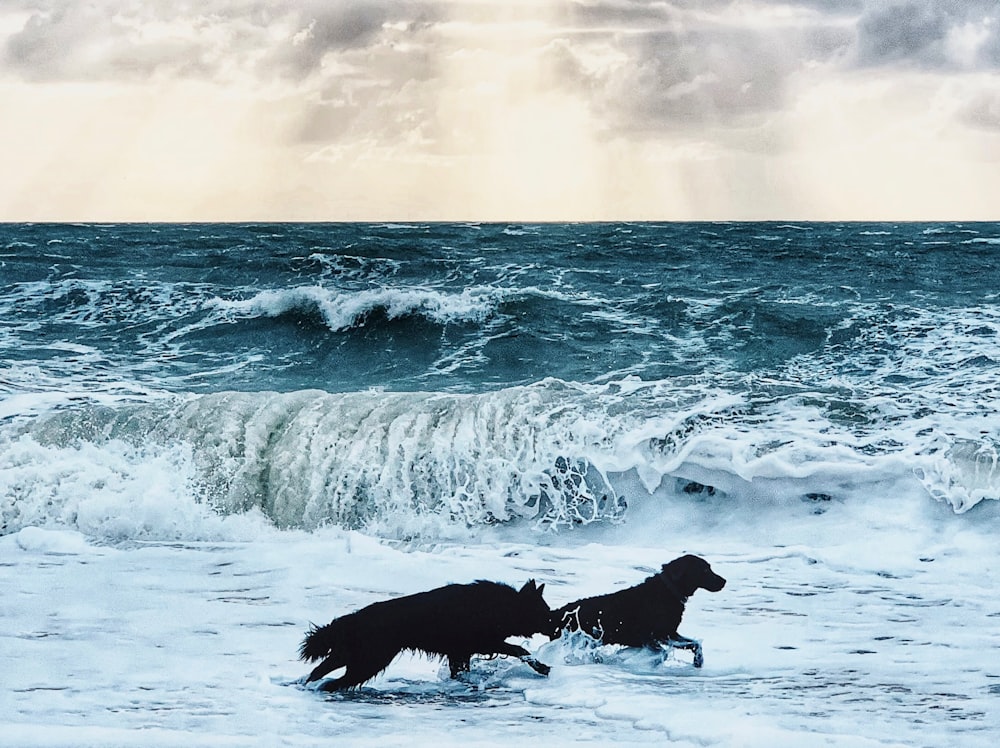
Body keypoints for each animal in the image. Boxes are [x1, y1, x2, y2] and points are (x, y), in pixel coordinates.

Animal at [302, 580, 556, 688]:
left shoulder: (460, 654)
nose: (556, 628)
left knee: (318, 673)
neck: (501, 606)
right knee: (333, 682)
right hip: (368, 663)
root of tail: (352, 619)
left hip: (350, 658)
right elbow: (519, 649)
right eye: (544, 612)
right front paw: (543, 667)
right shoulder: (486, 643)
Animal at [548, 556, 728, 668]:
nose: (724, 581)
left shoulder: (670, 634)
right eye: (705, 570)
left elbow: (695, 643)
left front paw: (698, 661)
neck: (667, 591)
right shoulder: (653, 636)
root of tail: (557, 612)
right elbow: (662, 653)